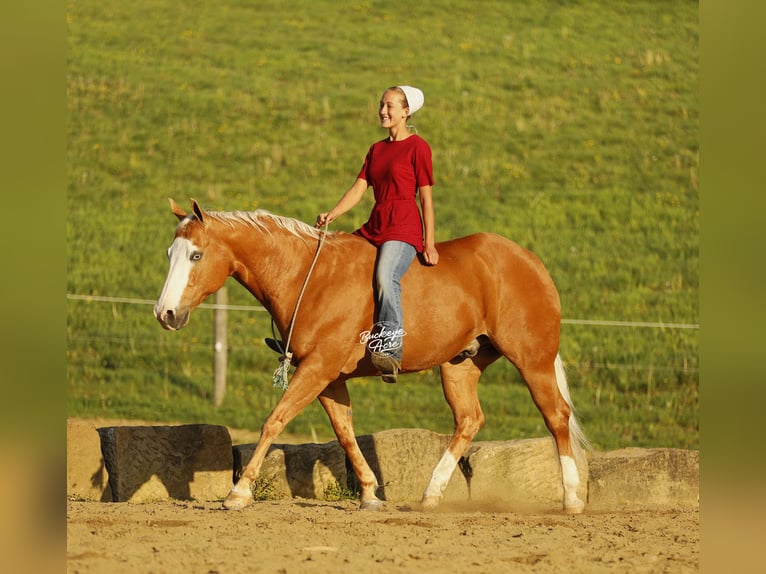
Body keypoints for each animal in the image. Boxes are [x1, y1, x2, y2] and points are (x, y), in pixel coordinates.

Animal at [154, 198, 589, 513]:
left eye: (196, 255)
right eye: (170, 252)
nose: (165, 314)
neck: (309, 278)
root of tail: (529, 261)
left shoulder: (317, 369)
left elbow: (273, 421)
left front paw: (239, 492)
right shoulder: (329, 379)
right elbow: (345, 434)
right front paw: (369, 493)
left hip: (532, 360)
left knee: (556, 416)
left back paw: (571, 498)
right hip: (460, 365)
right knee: (468, 420)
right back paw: (430, 495)